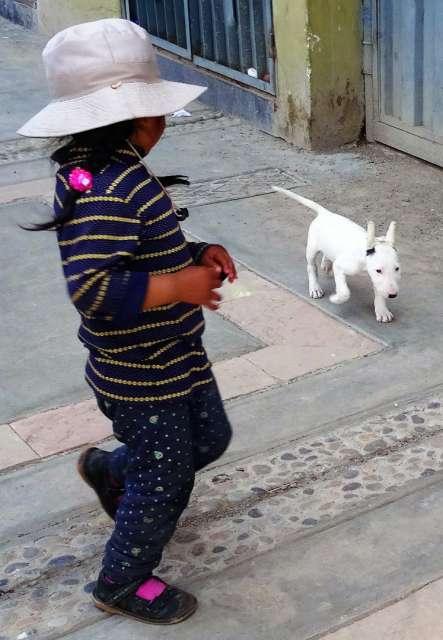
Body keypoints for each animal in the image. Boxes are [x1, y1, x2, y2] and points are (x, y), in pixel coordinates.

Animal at [272, 188, 400, 322]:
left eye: (397, 269)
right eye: (378, 270)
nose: (393, 295)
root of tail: (325, 213)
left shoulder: (376, 279)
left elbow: (379, 292)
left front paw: (382, 311)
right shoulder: (341, 266)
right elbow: (344, 292)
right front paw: (336, 298)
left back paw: (326, 264)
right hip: (311, 249)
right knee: (311, 267)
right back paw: (315, 288)